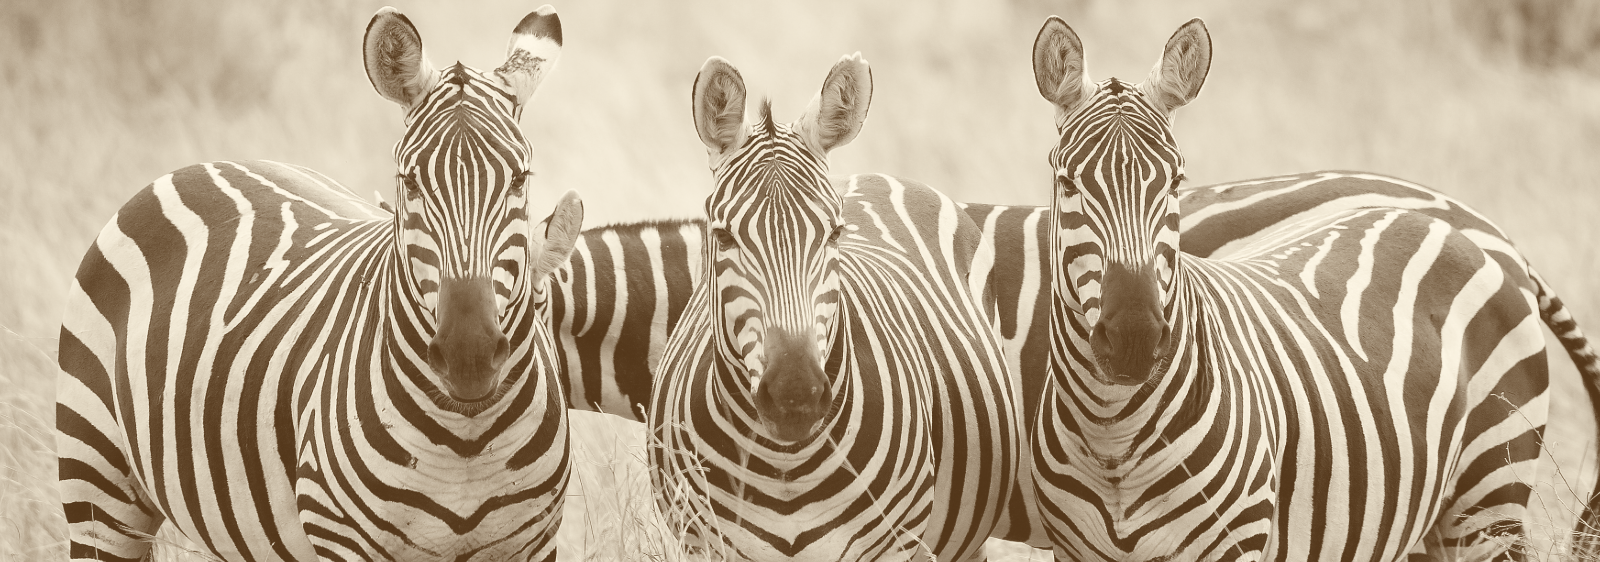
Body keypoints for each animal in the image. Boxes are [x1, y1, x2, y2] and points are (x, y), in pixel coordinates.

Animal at [55, 7, 581, 561]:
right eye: (410, 181)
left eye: (520, 179)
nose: (470, 356)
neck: (467, 439)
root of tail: (196, 165)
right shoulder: (342, 541)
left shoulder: (535, 543)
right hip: (96, 483)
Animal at [647, 54, 1020, 561]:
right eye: (722, 236)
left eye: (835, 233)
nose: (795, 395)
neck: (785, 464)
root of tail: (879, 175)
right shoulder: (702, 543)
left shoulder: (894, 544)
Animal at [1026, 16, 1600, 560]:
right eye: (1068, 183)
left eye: (1175, 183)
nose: (1135, 337)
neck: (1112, 437)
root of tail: (1473, 229)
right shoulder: (1071, 550)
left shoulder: (1234, 543)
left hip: (1489, 490)